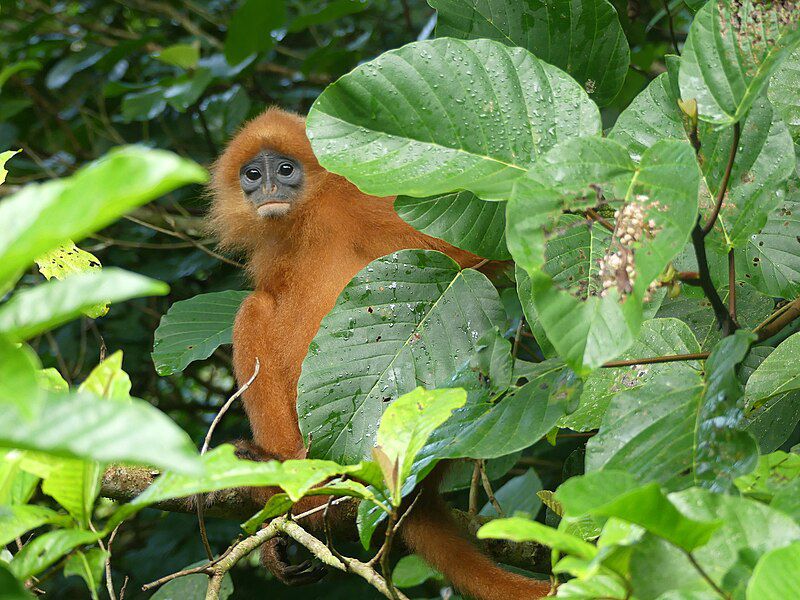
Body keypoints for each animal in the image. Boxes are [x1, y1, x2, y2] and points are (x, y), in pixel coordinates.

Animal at [209, 109, 552, 600]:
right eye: (253, 175)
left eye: (286, 170)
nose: (269, 187)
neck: (306, 221)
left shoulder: (365, 204)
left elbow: (474, 256)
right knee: (255, 309)